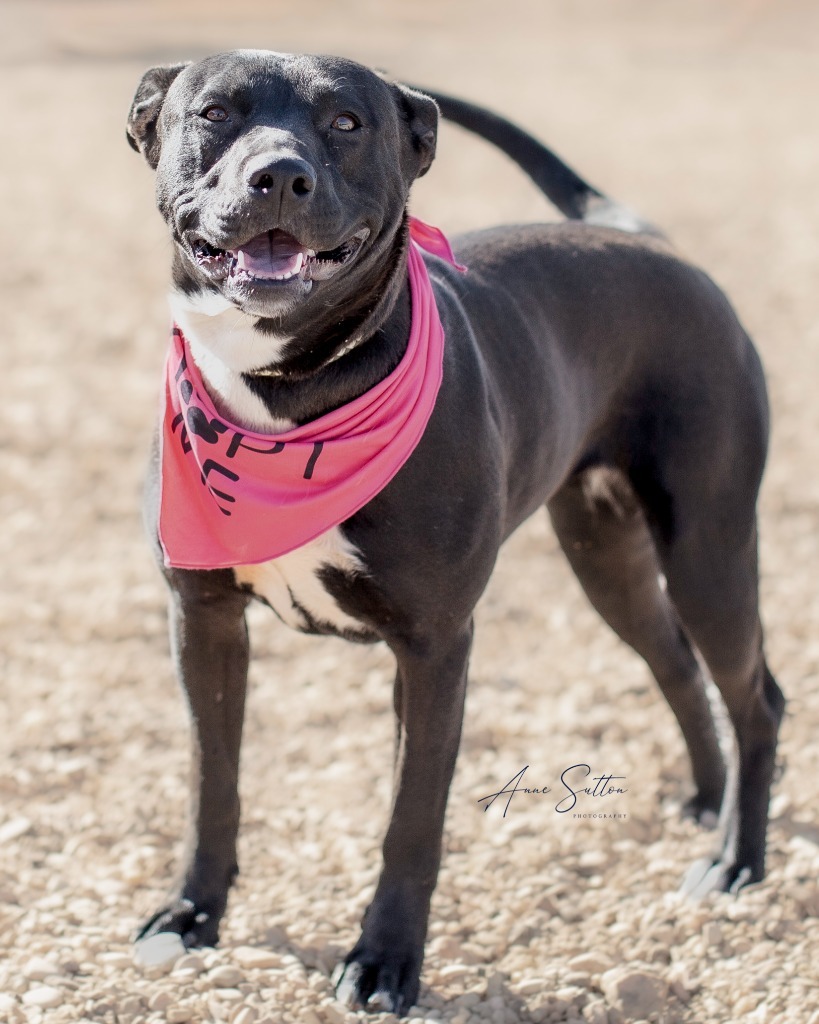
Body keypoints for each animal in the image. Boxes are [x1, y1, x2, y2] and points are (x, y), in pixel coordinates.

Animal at [124, 51, 782, 1011]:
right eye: (213, 112)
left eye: (347, 123)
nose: (278, 175)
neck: (284, 398)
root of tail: (653, 245)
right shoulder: (203, 620)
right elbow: (214, 782)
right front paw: (189, 912)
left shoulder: (434, 646)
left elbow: (412, 818)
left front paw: (384, 962)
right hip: (604, 555)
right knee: (674, 662)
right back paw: (707, 798)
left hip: (707, 549)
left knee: (753, 693)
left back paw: (736, 860)